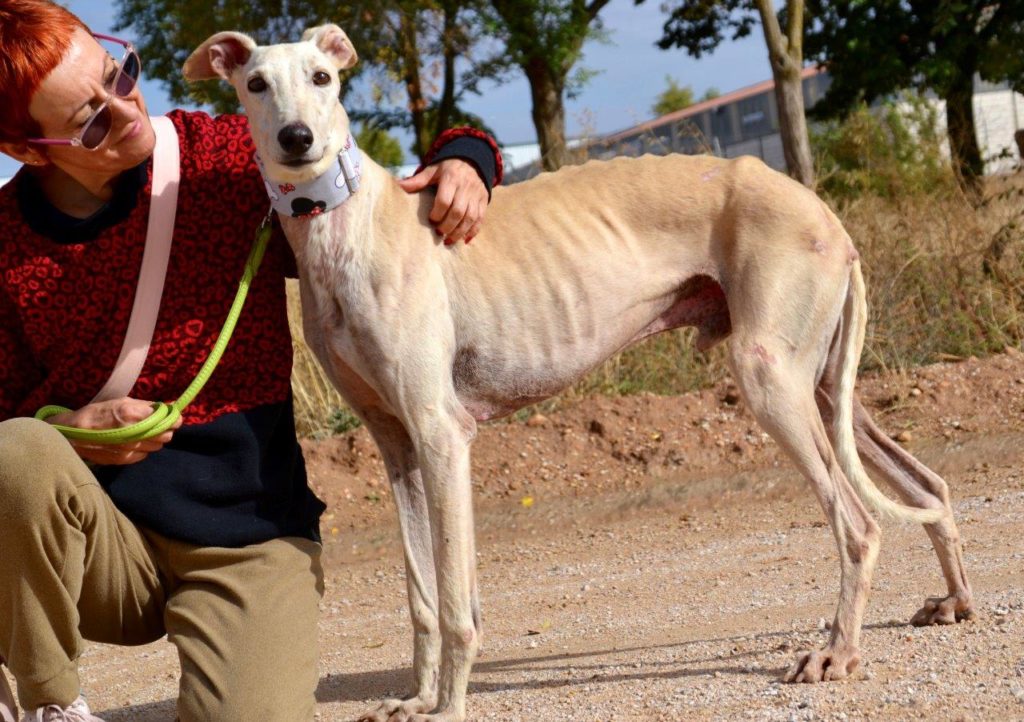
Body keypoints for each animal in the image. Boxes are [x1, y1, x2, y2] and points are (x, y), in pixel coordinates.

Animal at [184, 25, 974, 720]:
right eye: (256, 84)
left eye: (322, 77)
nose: (297, 141)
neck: (347, 224)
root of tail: (826, 214)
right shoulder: (397, 447)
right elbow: (424, 599)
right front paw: (414, 697)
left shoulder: (442, 435)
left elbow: (455, 602)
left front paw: (448, 707)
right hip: (822, 389)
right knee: (926, 486)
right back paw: (953, 600)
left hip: (772, 381)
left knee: (860, 524)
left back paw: (838, 652)